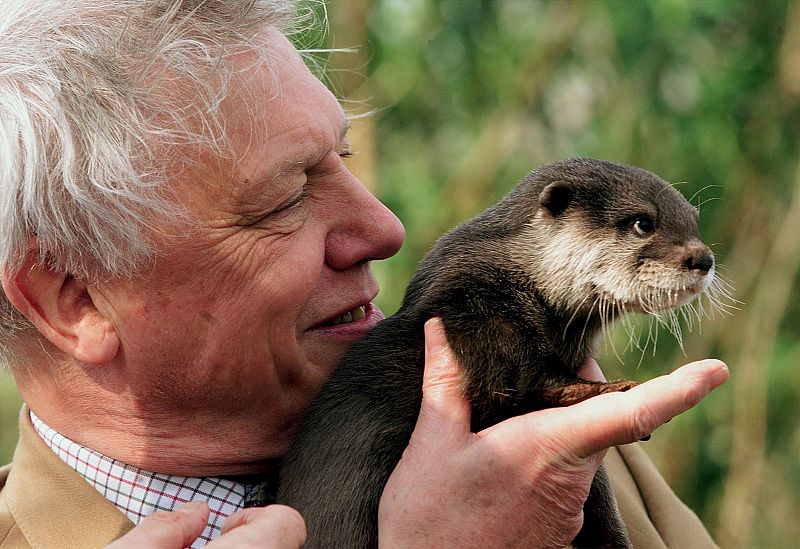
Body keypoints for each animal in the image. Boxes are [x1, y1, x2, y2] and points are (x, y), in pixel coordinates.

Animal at [278, 156, 716, 544]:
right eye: (643, 222)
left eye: (694, 222)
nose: (703, 258)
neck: (516, 275)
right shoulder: (477, 308)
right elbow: (521, 386)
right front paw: (609, 389)